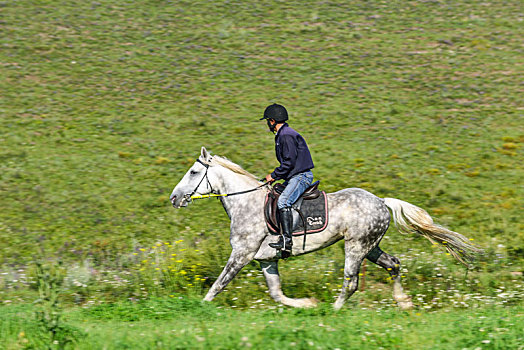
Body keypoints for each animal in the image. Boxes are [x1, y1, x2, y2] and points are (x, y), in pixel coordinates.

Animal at [170, 147, 482, 308]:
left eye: (194, 172)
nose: (174, 198)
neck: (245, 202)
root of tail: (382, 201)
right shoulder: (265, 261)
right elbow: (276, 293)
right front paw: (307, 304)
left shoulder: (241, 255)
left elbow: (218, 285)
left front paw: (200, 309)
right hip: (371, 246)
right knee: (393, 264)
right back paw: (403, 302)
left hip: (355, 247)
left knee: (351, 281)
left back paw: (334, 310)